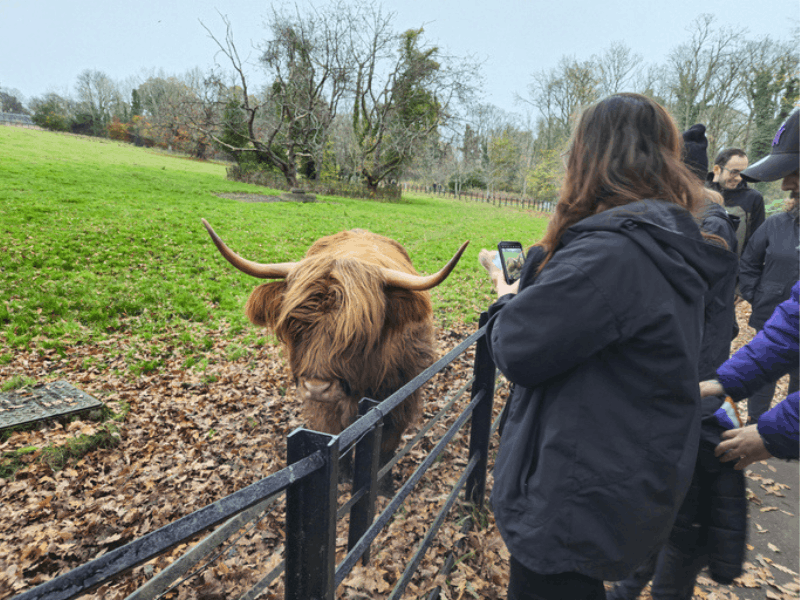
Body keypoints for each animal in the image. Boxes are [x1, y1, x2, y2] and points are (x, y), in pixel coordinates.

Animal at [201, 219, 469, 463]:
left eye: (358, 333)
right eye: (294, 325)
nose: (317, 387)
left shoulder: (401, 397)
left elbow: (386, 447)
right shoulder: (327, 410)